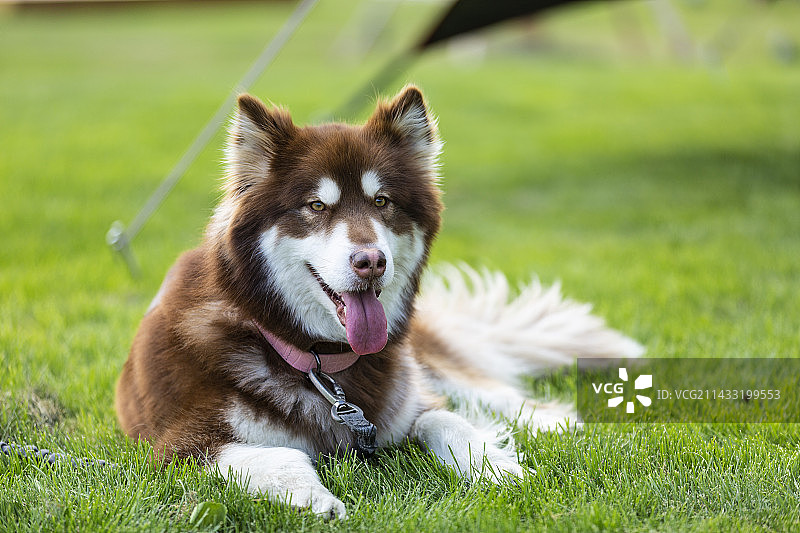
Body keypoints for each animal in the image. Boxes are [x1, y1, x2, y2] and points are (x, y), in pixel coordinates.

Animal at [114, 85, 644, 516]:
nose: (371, 261)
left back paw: (554, 421)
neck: (317, 363)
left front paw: (500, 469)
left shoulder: (408, 405)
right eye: (316, 206)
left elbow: (451, 421)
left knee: (491, 392)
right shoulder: (180, 448)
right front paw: (313, 498)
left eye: (382, 201)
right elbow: (280, 454)